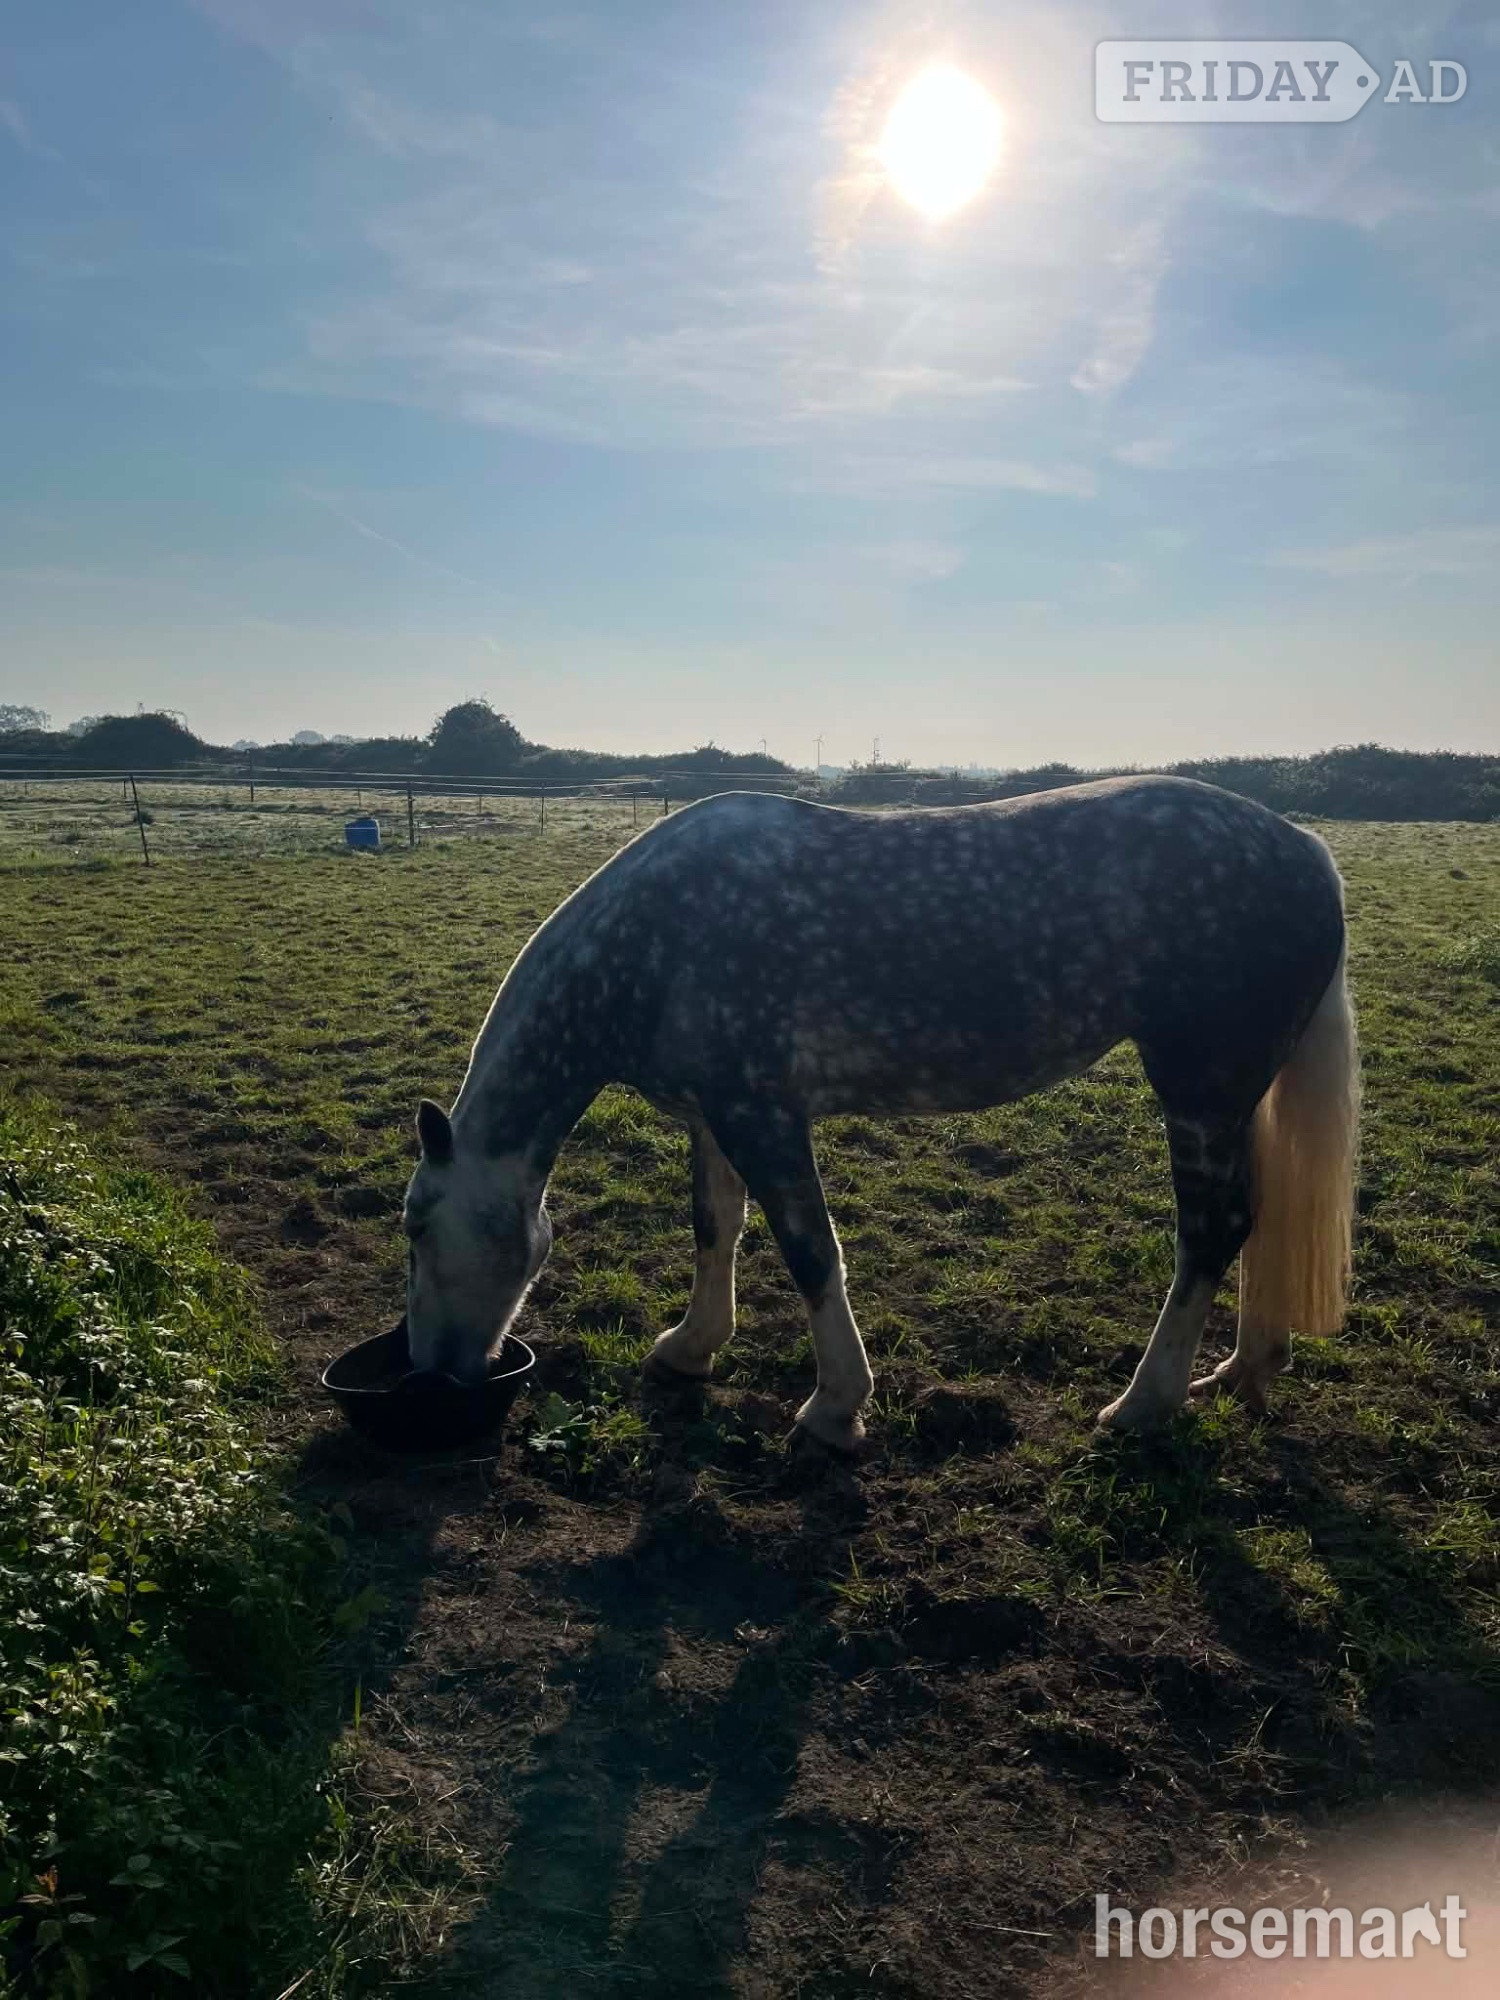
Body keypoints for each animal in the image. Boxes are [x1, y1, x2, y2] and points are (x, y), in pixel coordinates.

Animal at [401, 775, 1359, 1451]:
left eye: (415, 1227)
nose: (434, 1375)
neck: (653, 942)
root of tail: (1305, 845)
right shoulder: (713, 1115)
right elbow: (717, 1227)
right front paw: (692, 1344)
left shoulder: (764, 1116)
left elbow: (810, 1251)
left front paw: (835, 1407)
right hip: (1236, 1100)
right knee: (1259, 1221)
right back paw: (1241, 1370)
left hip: (1198, 1090)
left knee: (1212, 1230)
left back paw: (1143, 1404)